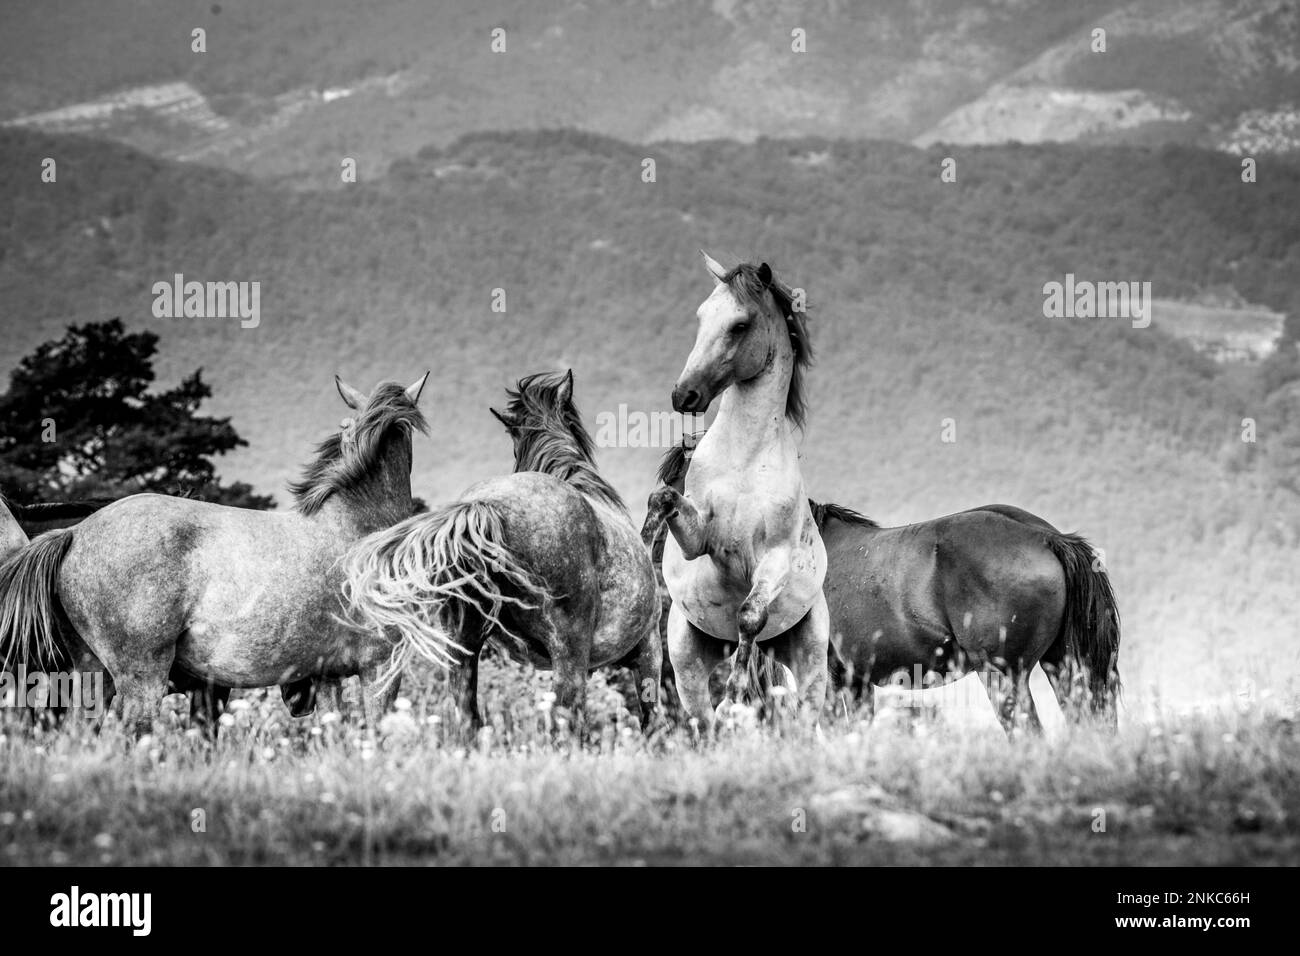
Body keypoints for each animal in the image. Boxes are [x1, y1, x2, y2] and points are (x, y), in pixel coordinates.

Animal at [642, 251, 826, 728]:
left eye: (740, 325)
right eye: (702, 316)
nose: (683, 395)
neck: (743, 460)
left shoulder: (774, 559)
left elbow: (749, 615)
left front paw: (735, 695)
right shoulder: (698, 540)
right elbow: (663, 499)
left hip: (811, 663)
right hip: (687, 661)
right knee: (703, 723)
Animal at [655, 437, 1123, 728]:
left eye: (681, 485)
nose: (653, 543)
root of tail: (1047, 537)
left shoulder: (829, 679)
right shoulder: (858, 683)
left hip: (1004, 676)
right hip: (1064, 669)